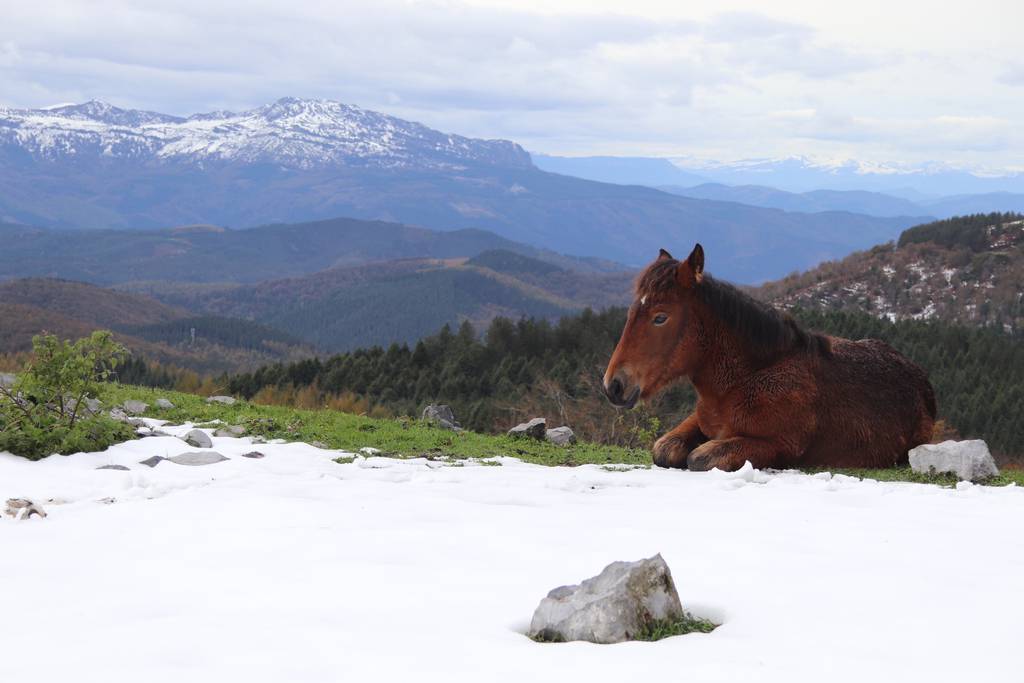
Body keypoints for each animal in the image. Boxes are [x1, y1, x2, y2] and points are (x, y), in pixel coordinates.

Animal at [603, 244, 936, 472]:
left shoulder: (781, 446)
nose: (613, 385)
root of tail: (919, 376)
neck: (744, 380)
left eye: (660, 317)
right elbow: (665, 449)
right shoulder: (698, 421)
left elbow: (700, 457)